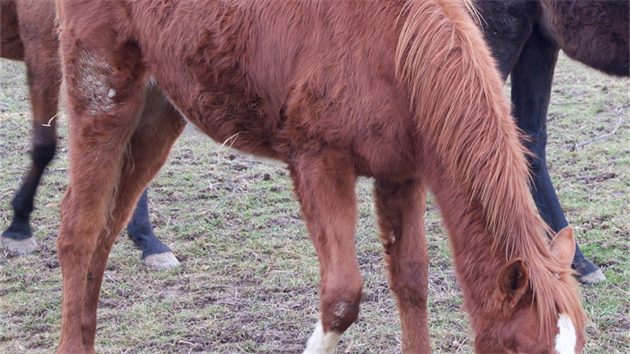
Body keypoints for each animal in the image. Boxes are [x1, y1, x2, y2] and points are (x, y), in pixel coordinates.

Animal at [54, 0, 588, 352]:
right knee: (79, 230)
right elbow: (342, 297)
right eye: (520, 349)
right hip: (102, 98)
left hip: (157, 113)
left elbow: (412, 282)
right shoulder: (318, 162)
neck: (394, 47)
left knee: (105, 232)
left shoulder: (403, 175)